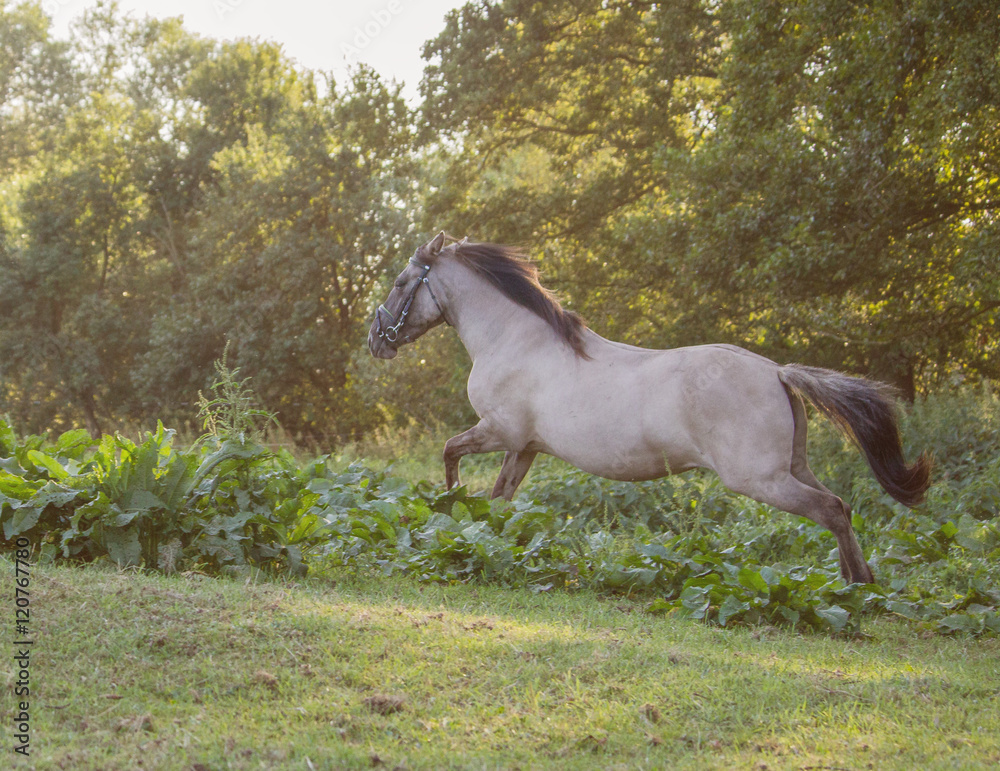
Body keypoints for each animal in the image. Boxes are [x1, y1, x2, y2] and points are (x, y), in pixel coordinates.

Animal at [367, 232, 931, 584]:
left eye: (399, 282)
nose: (376, 341)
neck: (514, 340)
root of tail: (776, 372)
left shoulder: (498, 431)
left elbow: (449, 454)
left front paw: (449, 508)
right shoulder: (524, 447)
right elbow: (501, 500)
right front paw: (486, 540)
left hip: (760, 479)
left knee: (831, 509)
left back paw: (857, 585)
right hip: (791, 467)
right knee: (841, 507)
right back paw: (862, 580)